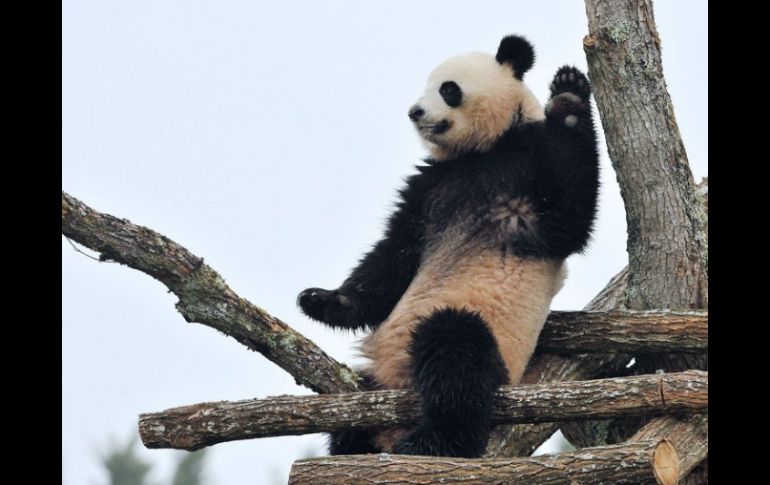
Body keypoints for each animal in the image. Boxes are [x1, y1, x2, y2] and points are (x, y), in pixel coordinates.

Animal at [296, 35, 596, 458]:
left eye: (448, 89)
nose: (414, 112)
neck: (481, 152)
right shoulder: (429, 188)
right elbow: (394, 255)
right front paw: (324, 300)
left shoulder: (526, 173)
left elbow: (569, 219)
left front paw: (569, 97)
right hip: (375, 381)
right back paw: (357, 446)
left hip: (491, 343)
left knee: (454, 357)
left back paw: (431, 442)